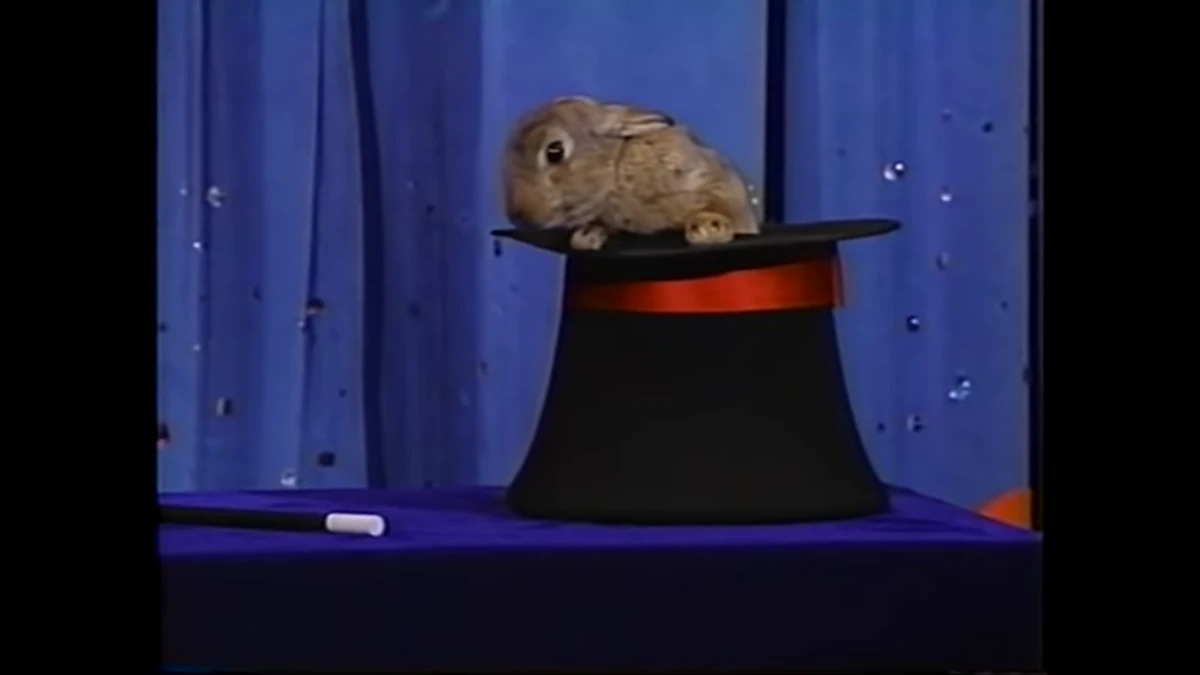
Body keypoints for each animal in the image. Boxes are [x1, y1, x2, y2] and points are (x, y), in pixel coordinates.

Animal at [502, 95, 760, 251]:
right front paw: (586, 237)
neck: (615, 169)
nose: (519, 216)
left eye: (555, 151)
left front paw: (709, 228)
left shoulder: (707, 179)